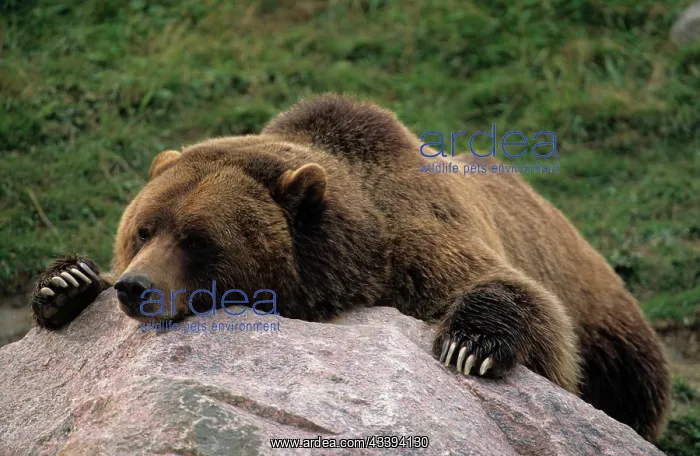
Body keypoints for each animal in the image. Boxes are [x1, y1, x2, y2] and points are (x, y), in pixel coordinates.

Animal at [30, 93, 670, 442]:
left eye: (196, 238)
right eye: (143, 228)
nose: (135, 288)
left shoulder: (416, 249)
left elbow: (517, 296)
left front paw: (468, 344)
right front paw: (66, 283)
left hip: (608, 320)